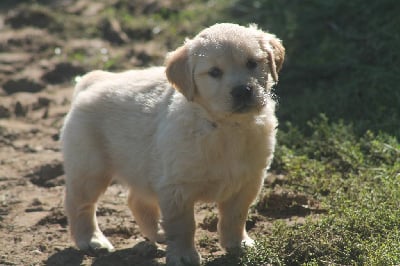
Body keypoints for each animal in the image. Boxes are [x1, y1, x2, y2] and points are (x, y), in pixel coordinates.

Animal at [61, 23, 284, 266]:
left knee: (136, 200)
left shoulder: (248, 180)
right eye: (215, 72)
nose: (242, 90)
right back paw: (91, 240)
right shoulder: (177, 186)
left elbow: (236, 216)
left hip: (143, 168)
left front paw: (238, 245)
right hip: (90, 167)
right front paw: (184, 255)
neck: (225, 126)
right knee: (79, 204)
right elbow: (183, 225)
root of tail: (94, 81)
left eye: (252, 63)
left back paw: (158, 232)